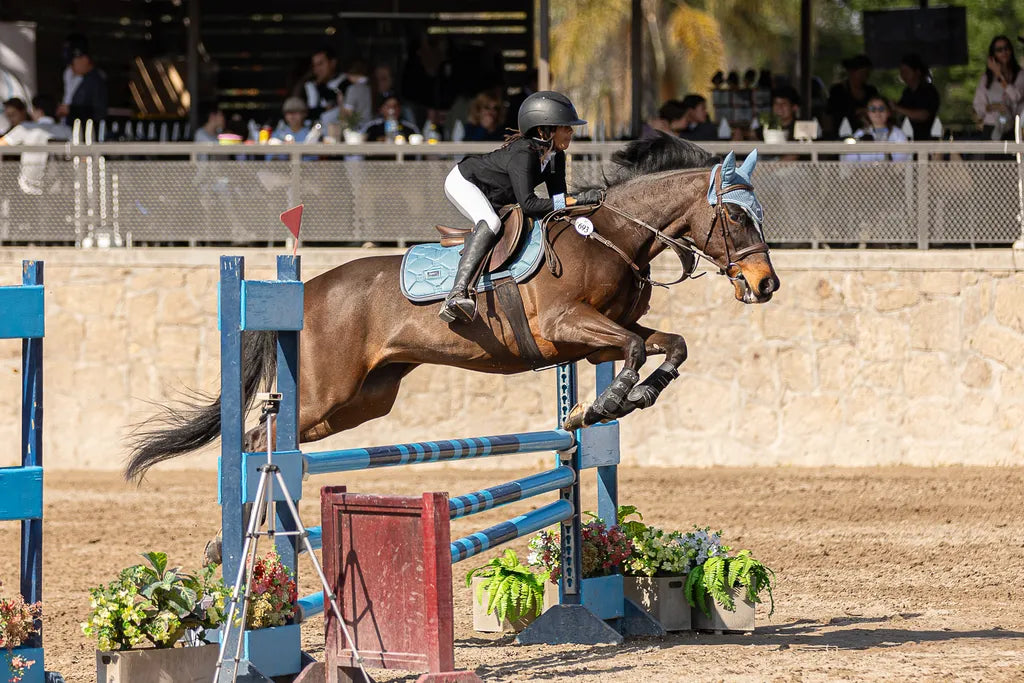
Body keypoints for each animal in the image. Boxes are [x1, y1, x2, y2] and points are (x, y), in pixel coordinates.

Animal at [125, 134, 780, 481]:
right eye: (737, 216)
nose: (766, 283)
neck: (610, 235)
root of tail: (306, 291)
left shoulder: (597, 335)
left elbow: (669, 344)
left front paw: (626, 398)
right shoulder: (566, 326)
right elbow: (638, 346)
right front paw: (607, 403)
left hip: (361, 401)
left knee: (271, 430)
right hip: (323, 391)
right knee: (259, 436)